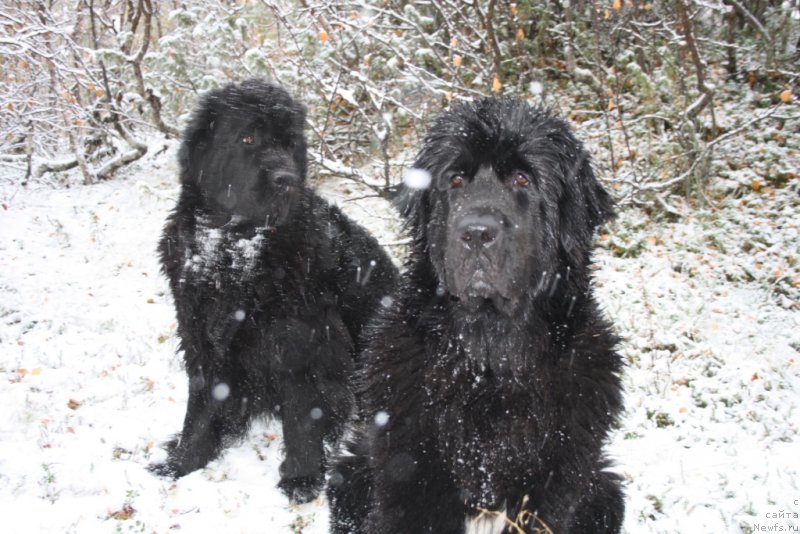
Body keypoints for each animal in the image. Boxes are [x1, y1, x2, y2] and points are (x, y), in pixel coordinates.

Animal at [148, 79, 396, 506]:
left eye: (290, 143)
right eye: (248, 137)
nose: (286, 179)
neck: (235, 250)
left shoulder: (299, 346)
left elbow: (301, 418)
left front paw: (301, 478)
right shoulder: (201, 338)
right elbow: (199, 409)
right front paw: (183, 461)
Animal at [326, 98, 624, 532]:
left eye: (522, 178)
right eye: (455, 180)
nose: (477, 233)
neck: (490, 361)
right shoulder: (407, 474)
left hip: (605, 491)